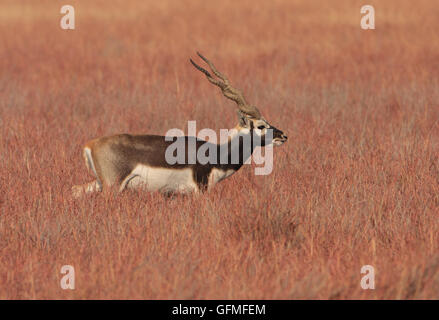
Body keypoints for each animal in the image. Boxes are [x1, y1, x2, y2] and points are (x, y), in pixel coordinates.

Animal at [72, 52, 288, 198]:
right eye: (260, 125)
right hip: (112, 187)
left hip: (99, 184)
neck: (217, 153)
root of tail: (91, 144)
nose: (283, 136)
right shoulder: (201, 191)